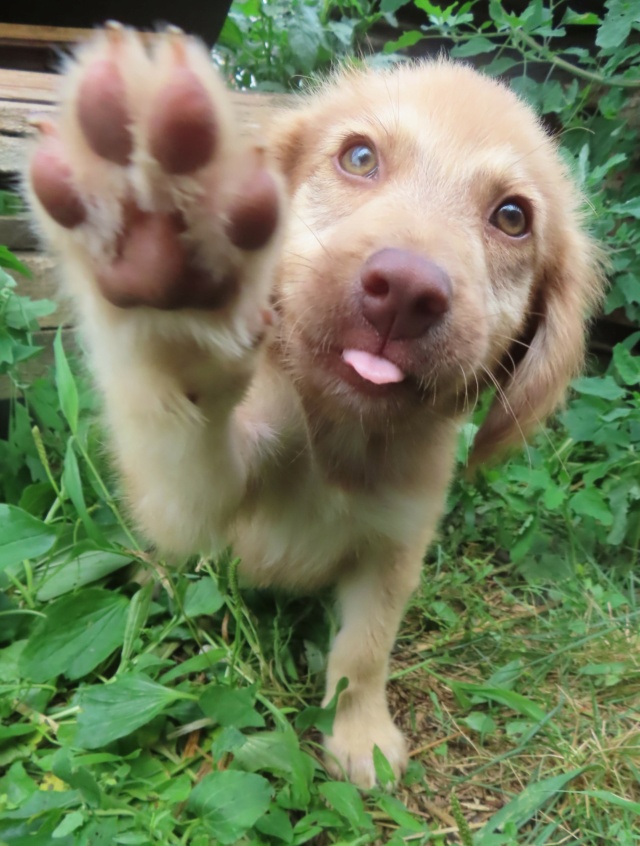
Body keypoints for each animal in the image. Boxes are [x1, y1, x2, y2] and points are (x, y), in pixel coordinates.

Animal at [26, 24, 604, 788]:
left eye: (512, 217)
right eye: (359, 157)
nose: (405, 292)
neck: (342, 438)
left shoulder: (395, 548)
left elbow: (364, 651)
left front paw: (359, 737)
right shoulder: (199, 507)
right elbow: (176, 416)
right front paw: (167, 265)